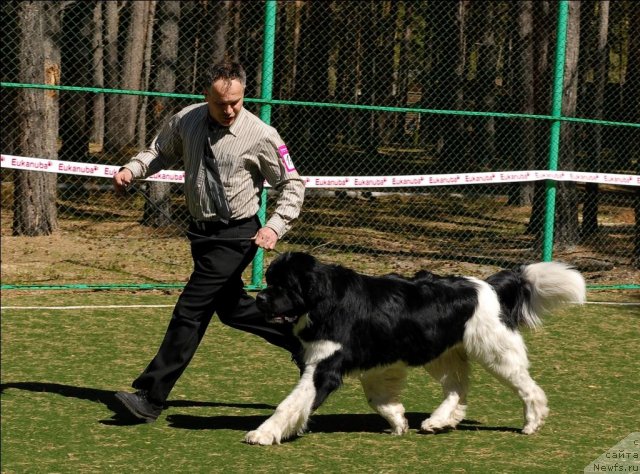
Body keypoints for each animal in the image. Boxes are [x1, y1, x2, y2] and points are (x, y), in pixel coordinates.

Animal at [245, 252, 584, 444]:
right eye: (268, 280)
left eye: (283, 286)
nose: (259, 298)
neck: (324, 299)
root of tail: (488, 285)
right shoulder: (376, 363)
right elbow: (378, 399)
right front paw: (398, 421)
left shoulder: (324, 367)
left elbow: (290, 403)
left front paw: (264, 433)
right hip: (440, 353)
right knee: (457, 389)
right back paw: (439, 421)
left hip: (494, 351)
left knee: (527, 388)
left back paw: (532, 422)